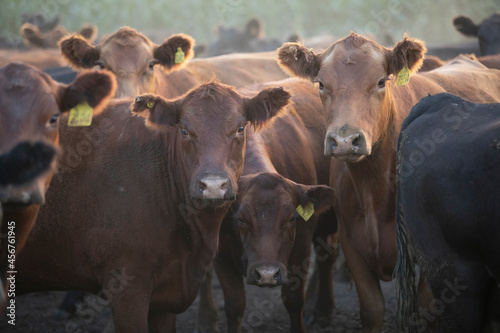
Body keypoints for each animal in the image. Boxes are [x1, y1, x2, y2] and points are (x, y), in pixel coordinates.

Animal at [208, 78, 336, 332]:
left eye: (291, 219)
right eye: (241, 219)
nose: (267, 274)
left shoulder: (300, 244)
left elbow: (294, 300)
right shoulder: (221, 256)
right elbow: (235, 306)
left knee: (328, 258)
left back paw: (321, 310)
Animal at [278, 33, 500, 330]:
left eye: (381, 81)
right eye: (322, 84)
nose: (345, 140)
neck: (373, 190)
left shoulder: (431, 263)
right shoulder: (352, 245)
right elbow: (372, 310)